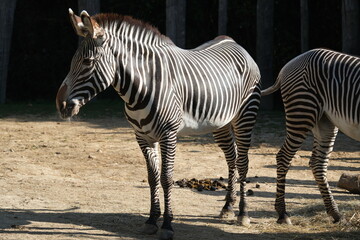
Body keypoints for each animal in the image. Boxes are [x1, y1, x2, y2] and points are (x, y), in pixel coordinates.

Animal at [55, 9, 262, 240]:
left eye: (88, 62)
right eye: (74, 61)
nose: (60, 104)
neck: (142, 86)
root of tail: (234, 42)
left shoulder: (168, 134)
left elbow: (166, 178)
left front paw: (168, 225)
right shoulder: (142, 136)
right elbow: (152, 178)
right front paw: (152, 220)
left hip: (245, 115)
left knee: (242, 162)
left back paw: (243, 214)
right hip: (220, 123)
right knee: (231, 158)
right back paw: (227, 207)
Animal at [262, 48, 360, 225]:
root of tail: (292, 62)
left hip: (324, 121)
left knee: (318, 163)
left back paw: (336, 214)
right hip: (302, 112)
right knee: (284, 157)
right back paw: (282, 213)